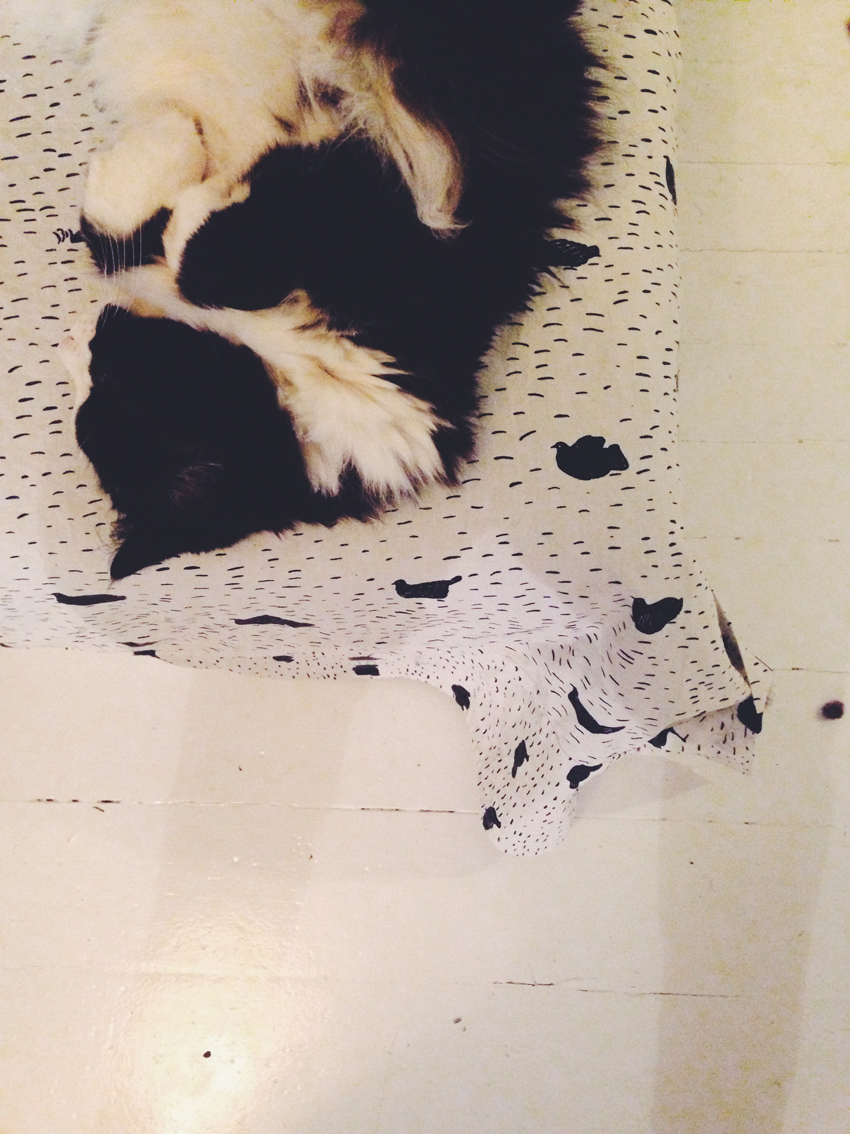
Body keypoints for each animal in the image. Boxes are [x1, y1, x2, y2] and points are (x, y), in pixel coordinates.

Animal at [65, 0, 600, 575]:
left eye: (106, 378)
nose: (78, 337)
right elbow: (136, 235)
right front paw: (170, 158)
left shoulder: (385, 227)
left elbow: (192, 250)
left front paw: (172, 153)